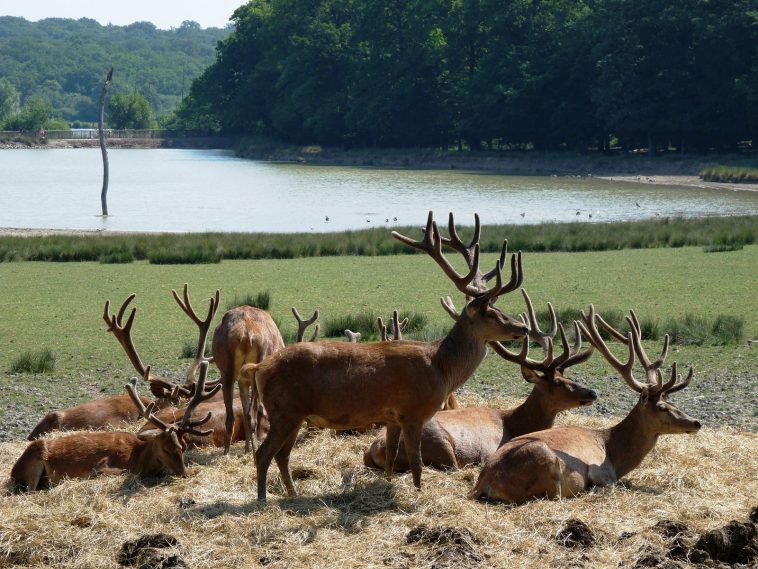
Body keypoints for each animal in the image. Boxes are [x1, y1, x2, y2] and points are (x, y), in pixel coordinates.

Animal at [11, 364, 220, 492]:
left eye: (183, 447)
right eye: (166, 448)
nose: (184, 474)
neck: (139, 457)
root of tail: (13, 472)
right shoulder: (105, 466)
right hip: (35, 461)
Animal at [242, 211, 528, 500]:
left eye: (499, 308)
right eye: (489, 313)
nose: (523, 328)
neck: (441, 368)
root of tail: (260, 367)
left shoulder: (393, 417)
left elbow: (391, 456)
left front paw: (388, 483)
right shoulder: (413, 412)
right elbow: (416, 461)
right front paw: (418, 494)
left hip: (294, 414)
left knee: (282, 455)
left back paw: (292, 494)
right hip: (284, 410)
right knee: (264, 454)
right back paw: (262, 499)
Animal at [366, 288, 596, 470]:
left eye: (566, 376)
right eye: (557, 383)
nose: (593, 393)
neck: (515, 422)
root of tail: (376, 449)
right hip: (441, 445)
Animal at [472, 306, 704, 502]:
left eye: (672, 402)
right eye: (662, 408)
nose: (696, 422)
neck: (613, 453)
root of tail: (484, 483)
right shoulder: (599, 472)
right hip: (547, 464)